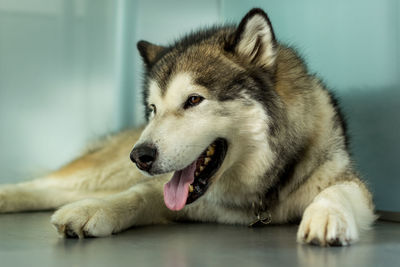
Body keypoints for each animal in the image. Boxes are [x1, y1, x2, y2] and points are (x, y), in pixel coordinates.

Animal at [0, 7, 376, 247]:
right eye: (152, 109)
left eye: (194, 100)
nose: (140, 156)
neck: (254, 195)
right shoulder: (161, 190)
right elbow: (136, 194)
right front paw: (93, 210)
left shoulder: (347, 180)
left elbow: (337, 191)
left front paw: (326, 216)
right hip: (106, 170)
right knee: (49, 184)